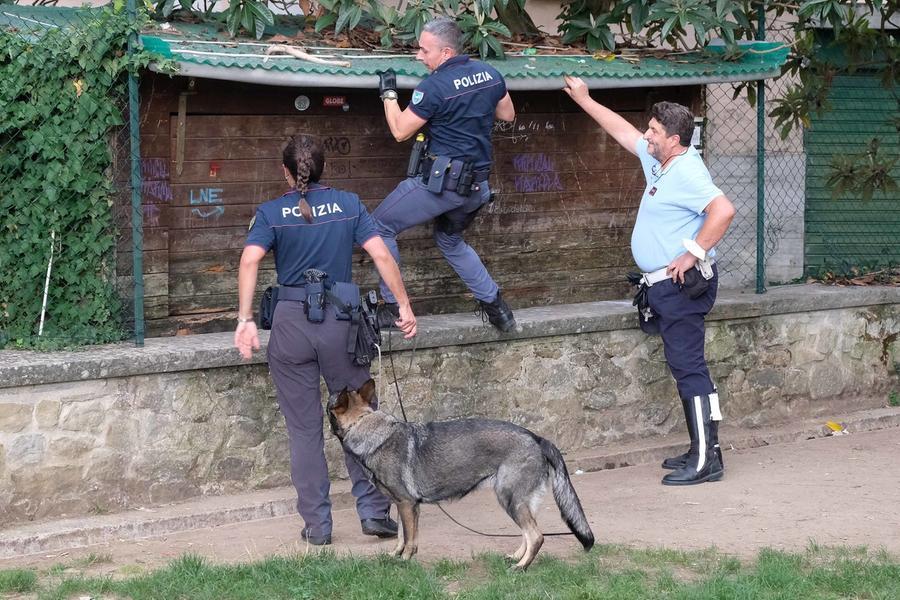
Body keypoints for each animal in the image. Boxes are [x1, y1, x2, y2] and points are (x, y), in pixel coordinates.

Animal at [326, 378, 596, 568]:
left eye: (329, 404)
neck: (364, 424)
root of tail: (537, 438)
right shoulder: (404, 506)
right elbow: (402, 536)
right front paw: (395, 556)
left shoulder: (406, 504)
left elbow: (410, 539)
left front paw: (405, 561)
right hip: (520, 502)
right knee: (527, 534)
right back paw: (516, 558)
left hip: (509, 498)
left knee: (536, 536)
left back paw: (521, 567)